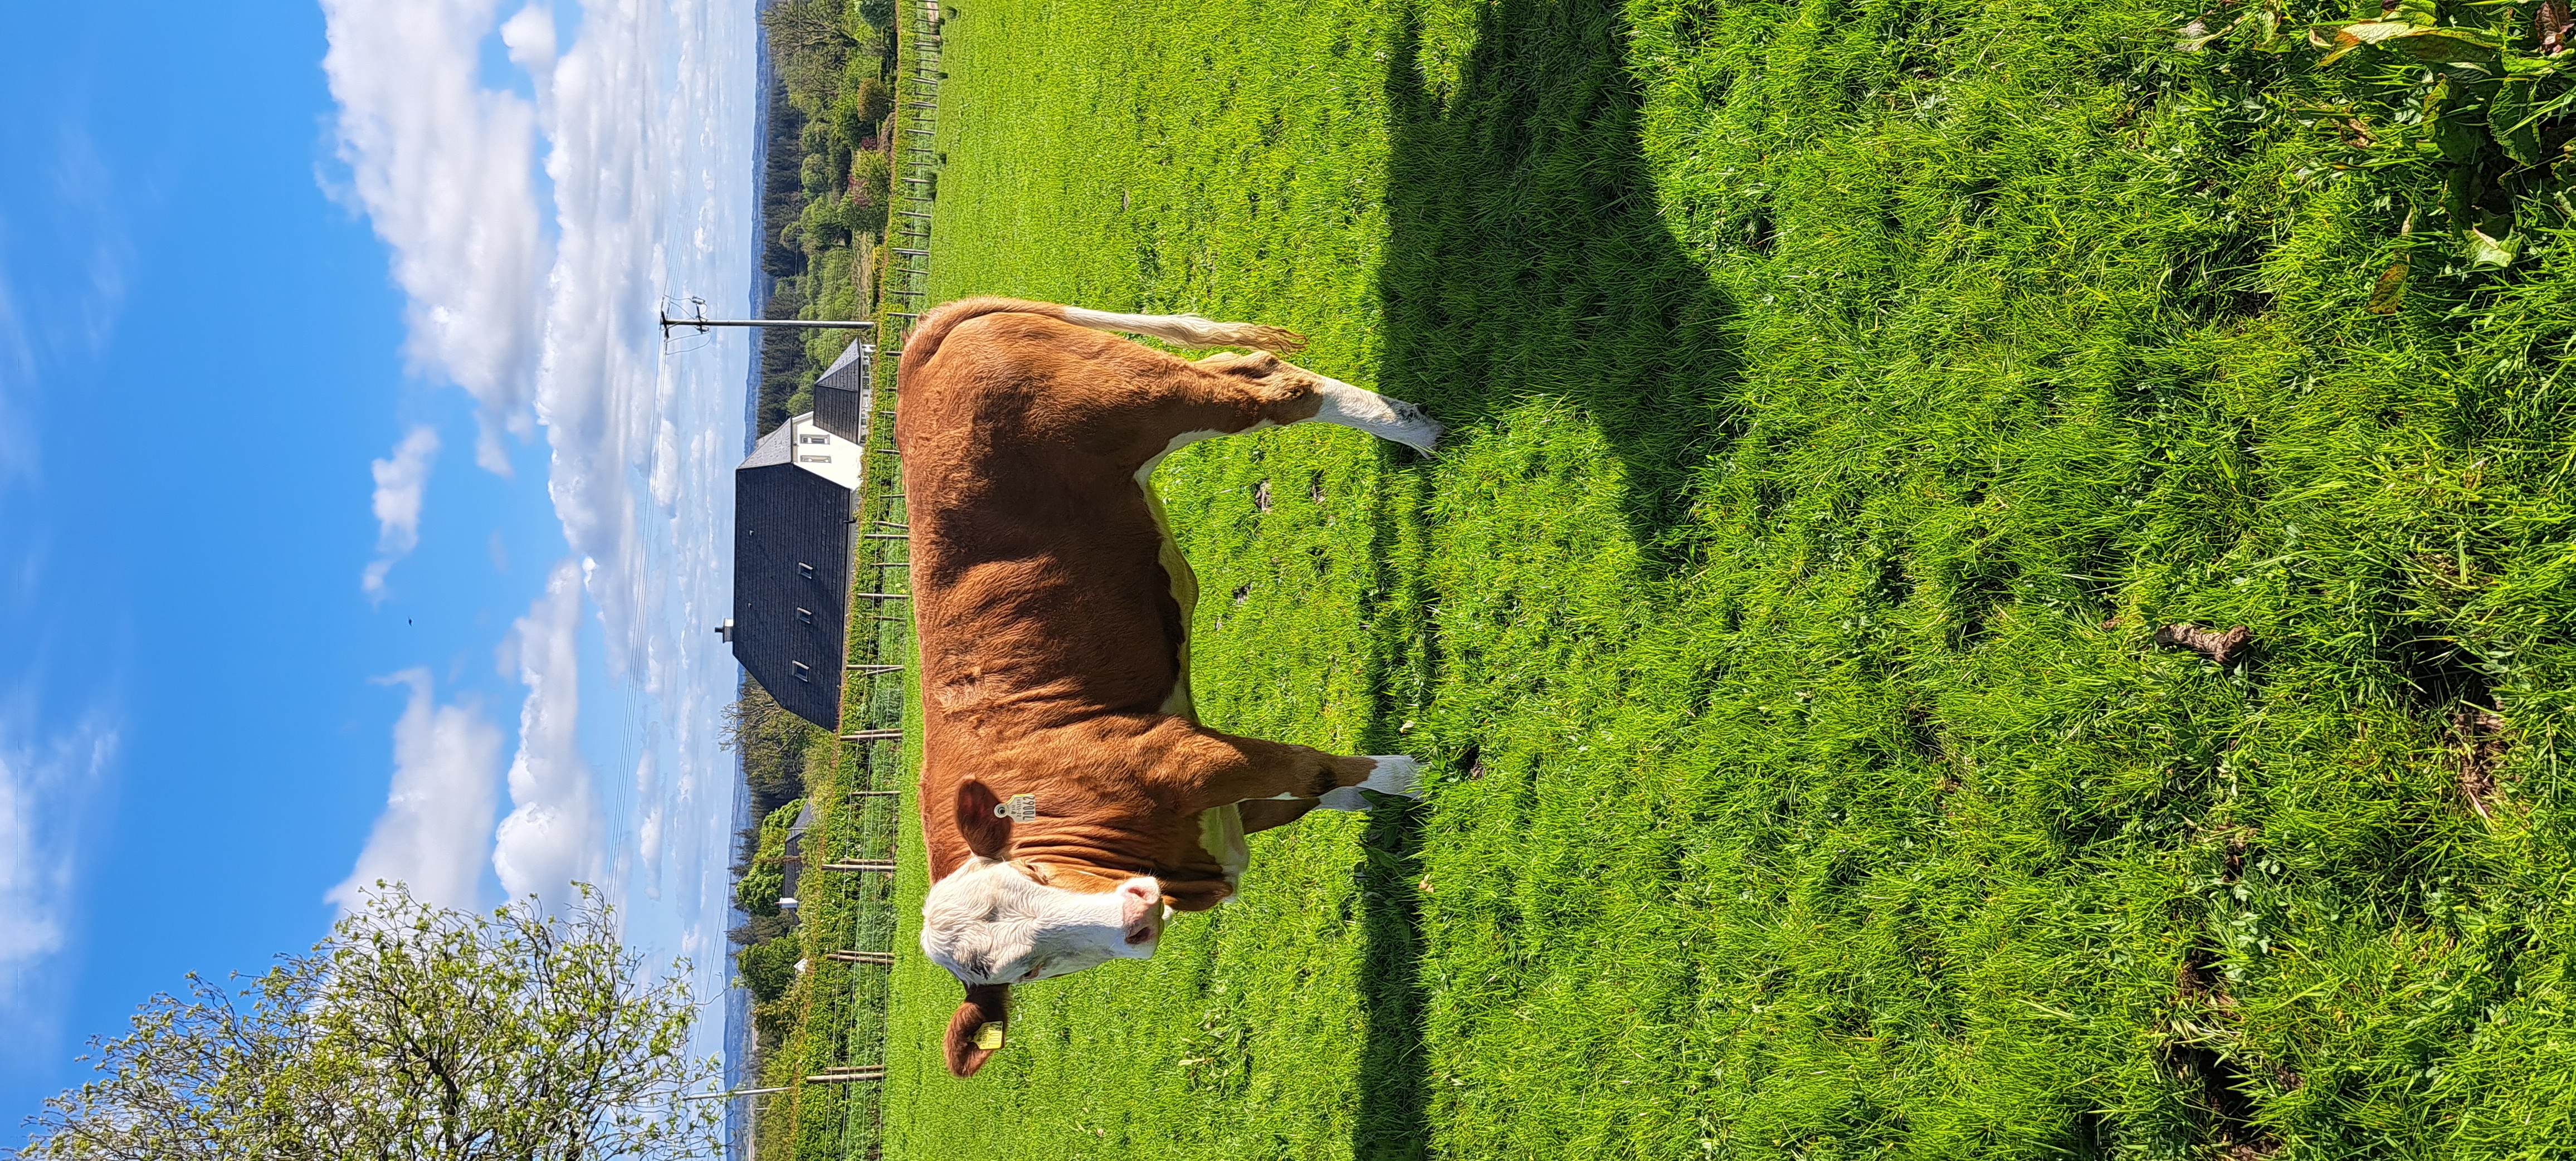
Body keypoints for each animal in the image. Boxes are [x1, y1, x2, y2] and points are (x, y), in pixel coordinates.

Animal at [894, 298, 1442, 1078]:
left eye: (1037, 876)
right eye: (1028, 970)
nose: (1134, 916)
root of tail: (923, 341)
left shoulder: (1191, 758)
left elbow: (1318, 766)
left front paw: (1416, 774)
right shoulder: (1225, 809)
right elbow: (1323, 788)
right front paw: (1385, 796)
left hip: (1146, 400)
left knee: (1268, 387)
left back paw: (1416, 430)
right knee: (1245, 367)